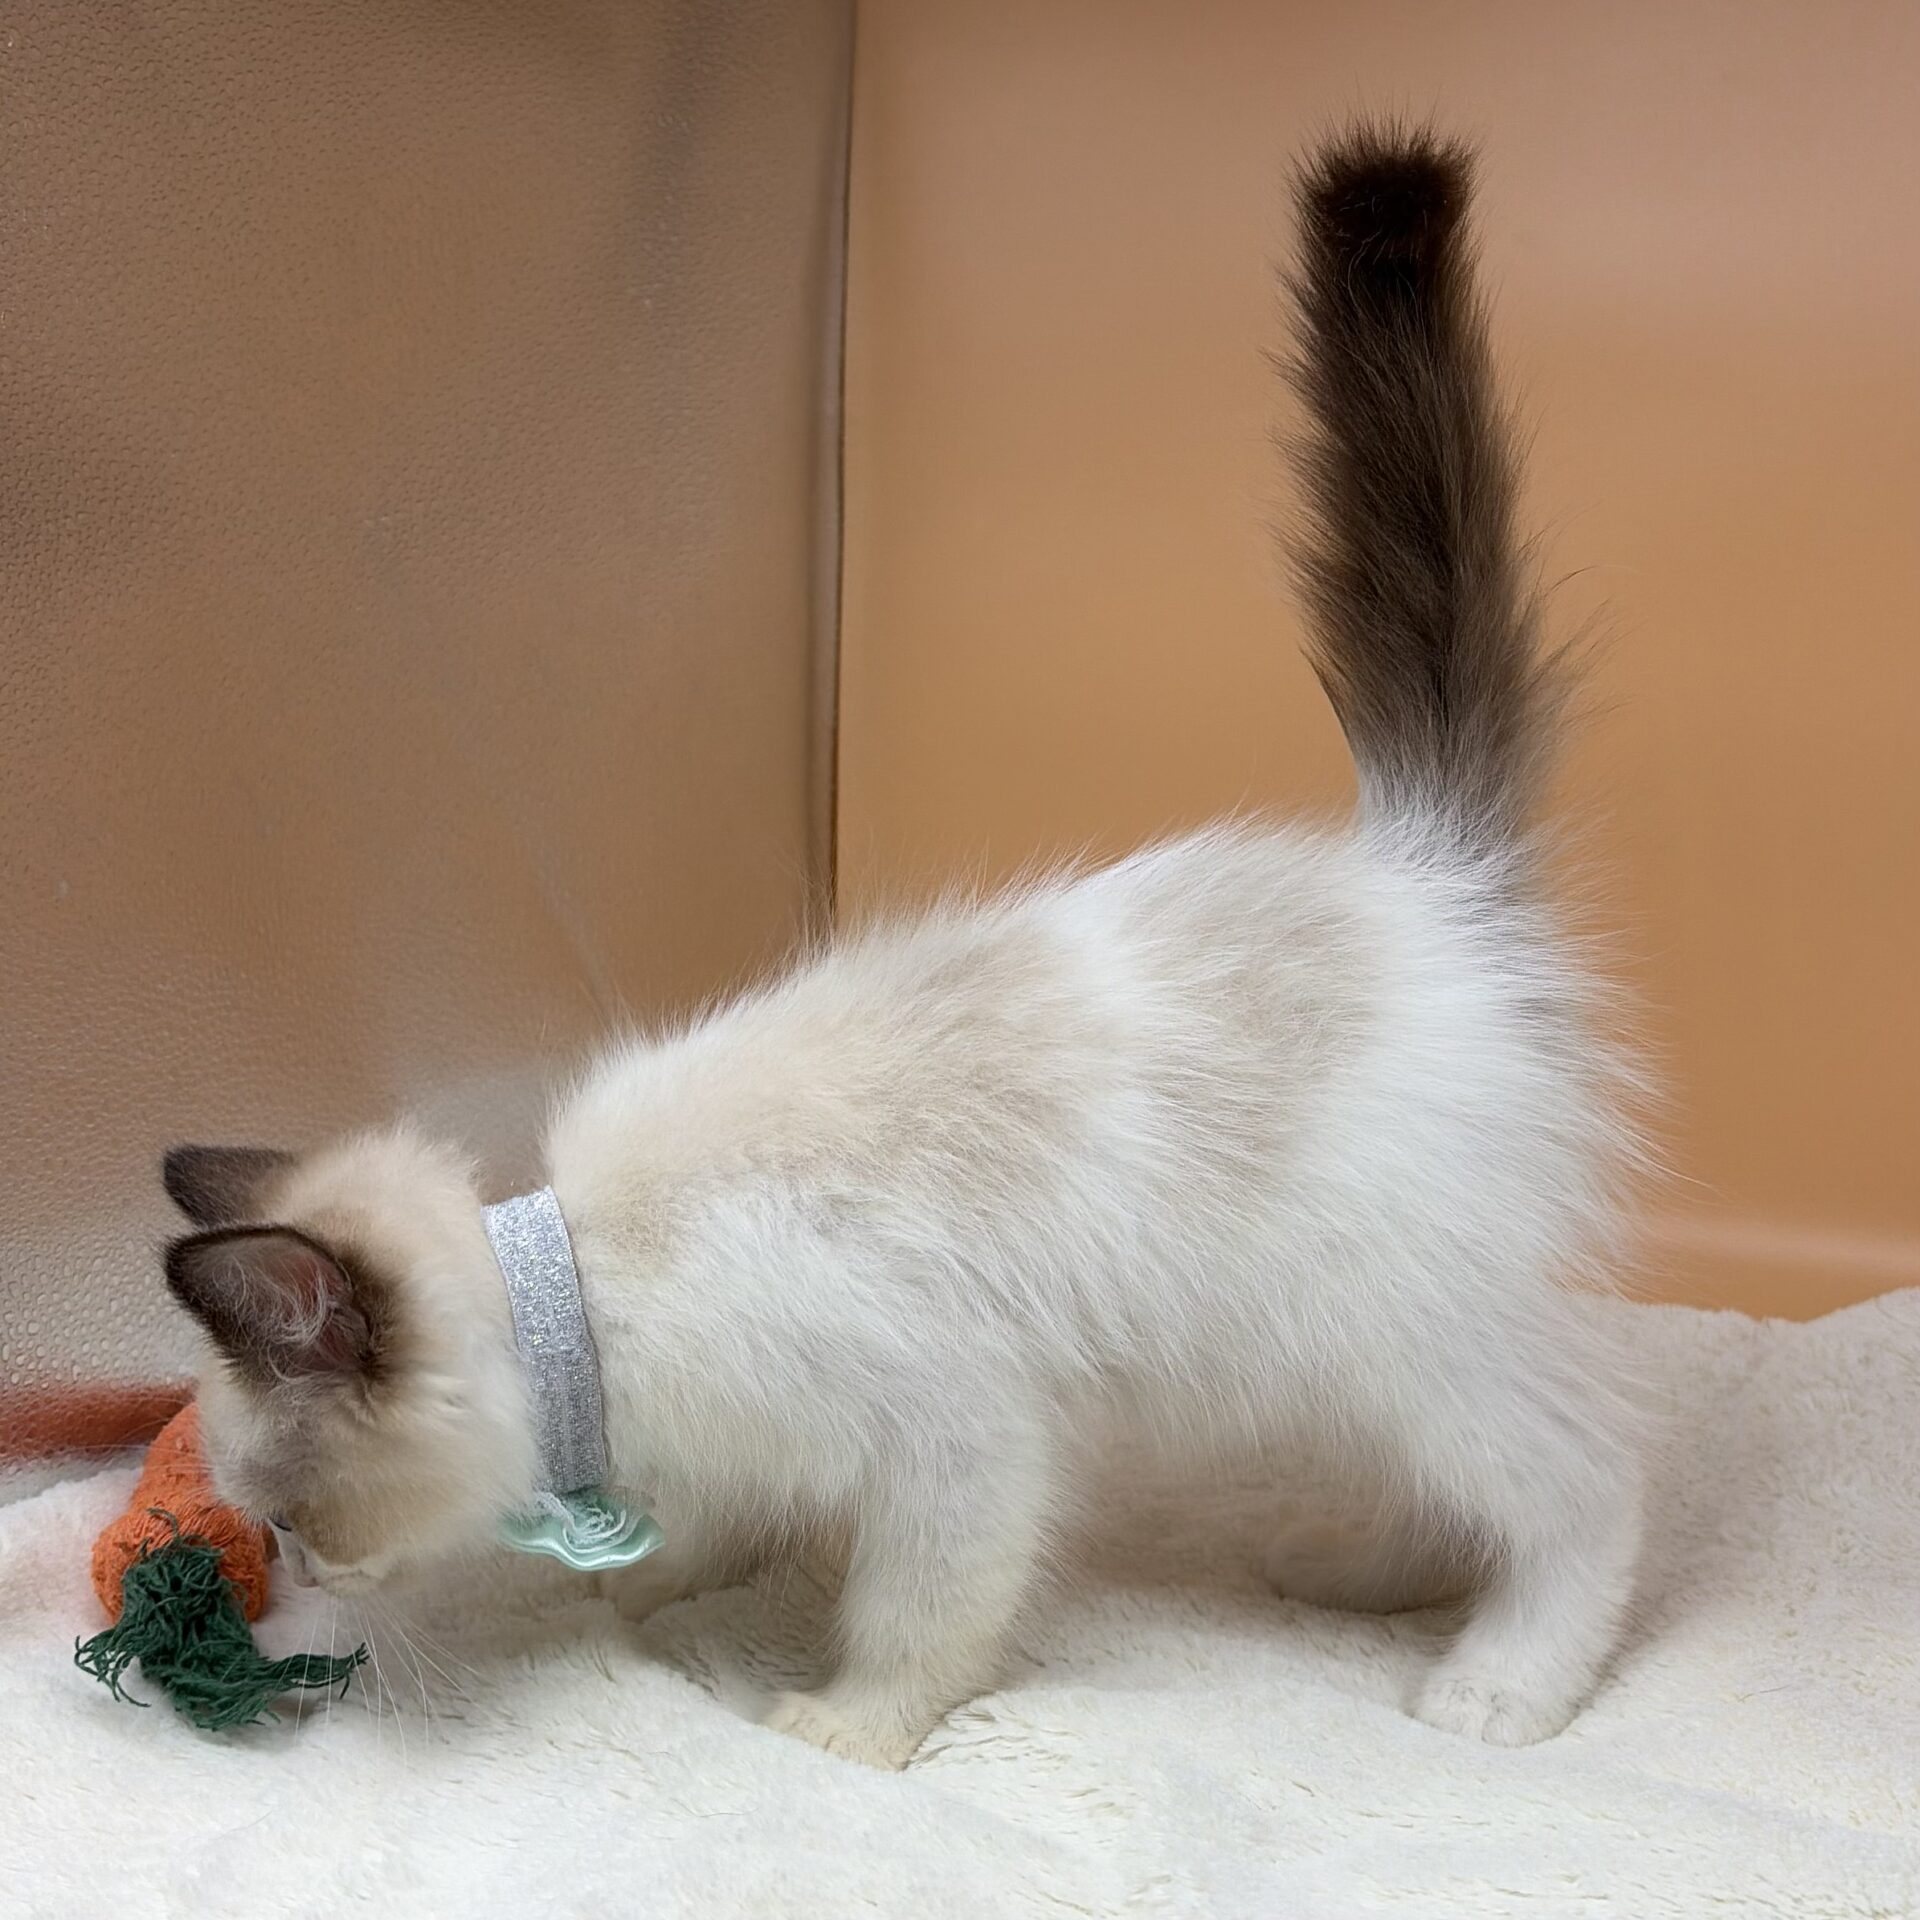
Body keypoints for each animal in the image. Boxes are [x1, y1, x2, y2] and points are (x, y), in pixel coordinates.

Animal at [160, 123, 1645, 1769]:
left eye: (286, 1513)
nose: (297, 1575)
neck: (589, 1293)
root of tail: (1429, 869)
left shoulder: (957, 1436)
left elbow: (917, 1614)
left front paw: (838, 1727)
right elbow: (712, 1521)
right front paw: (654, 1589)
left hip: (1376, 1326)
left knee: (1584, 1478)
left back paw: (1497, 1686)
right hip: (1326, 1356)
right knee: (1455, 1484)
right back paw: (1354, 1576)